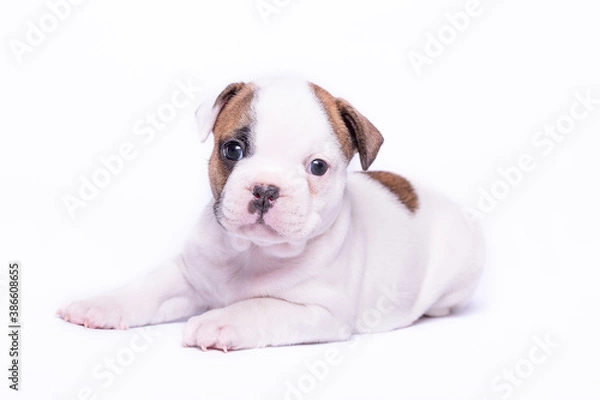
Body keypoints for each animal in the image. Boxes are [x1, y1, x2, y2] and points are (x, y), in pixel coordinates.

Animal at [58, 77, 486, 350]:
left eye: (317, 167)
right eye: (232, 150)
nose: (266, 189)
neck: (252, 251)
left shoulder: (317, 312)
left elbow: (260, 306)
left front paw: (219, 321)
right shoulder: (187, 274)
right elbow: (144, 288)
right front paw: (100, 305)